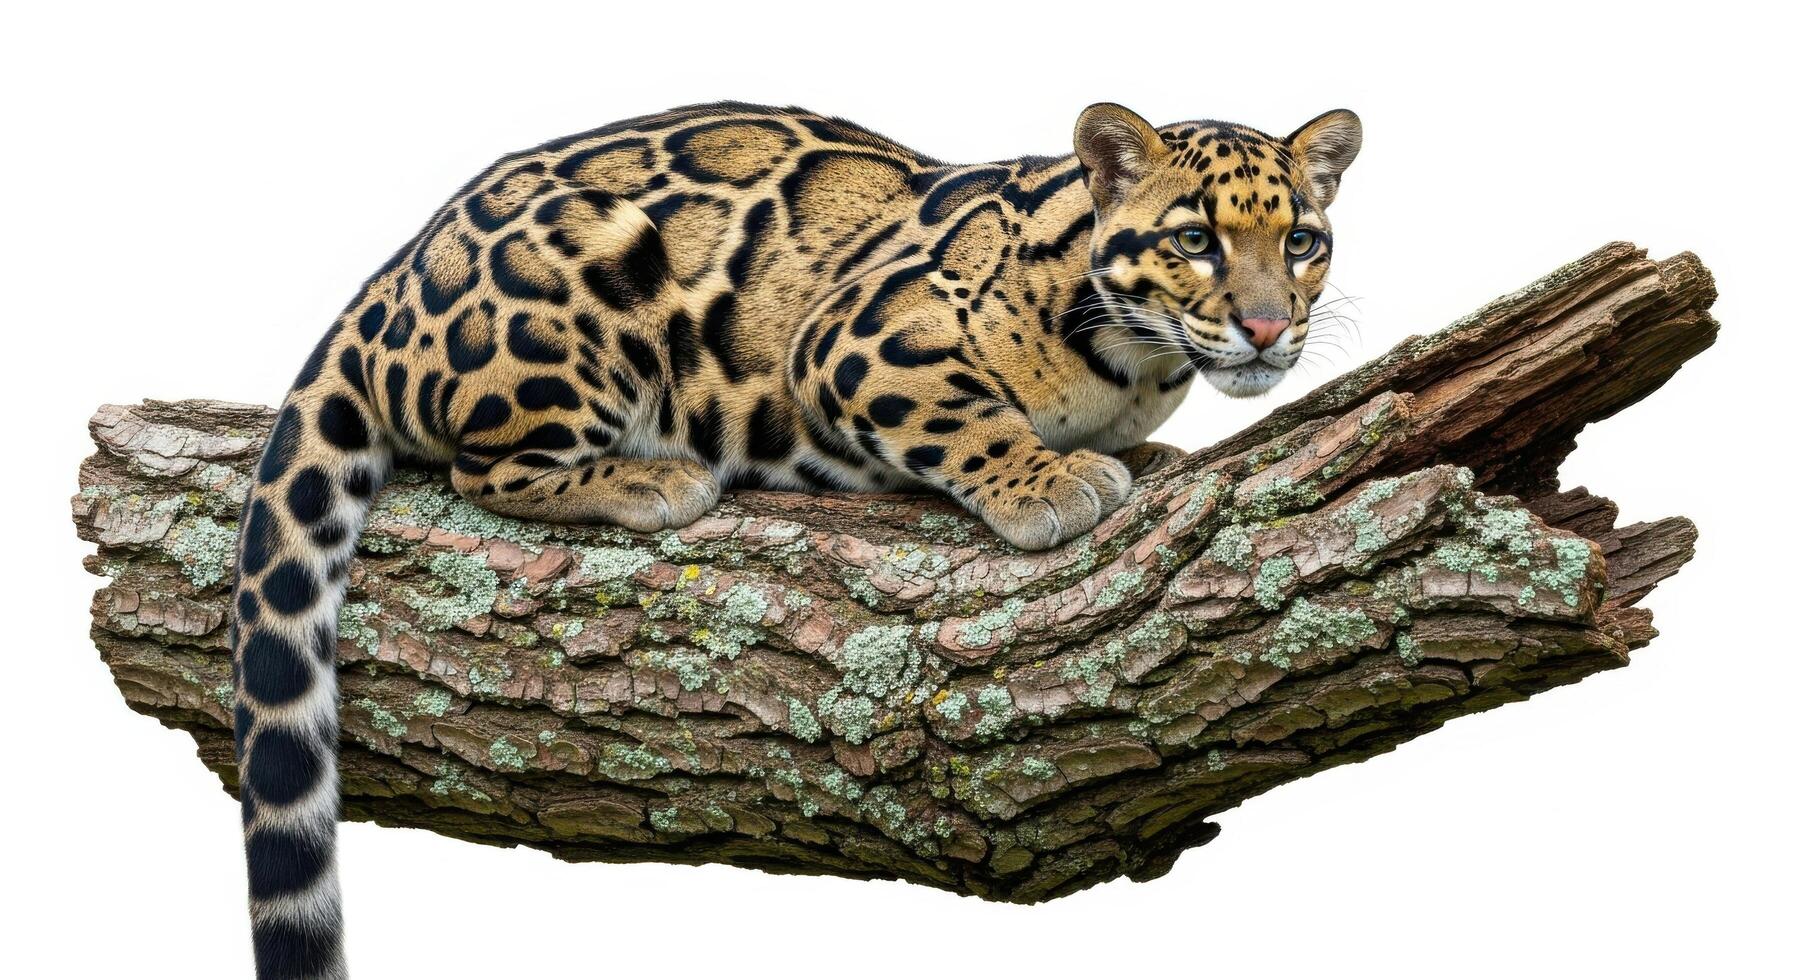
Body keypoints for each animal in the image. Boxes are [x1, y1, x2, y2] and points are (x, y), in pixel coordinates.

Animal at [228, 100, 1360, 978]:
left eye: (1302, 241)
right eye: (1194, 241)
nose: (1268, 329)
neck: (1133, 361)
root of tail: (386, 283)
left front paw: (1145, 455)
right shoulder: (858, 339)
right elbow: (968, 415)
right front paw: (1045, 479)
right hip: (588, 287)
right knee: (482, 466)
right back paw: (652, 475)